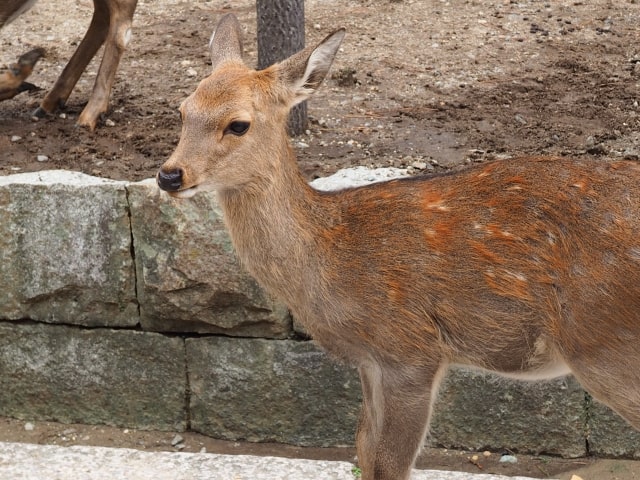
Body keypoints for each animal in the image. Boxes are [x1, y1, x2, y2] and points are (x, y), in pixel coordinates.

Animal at [158, 12, 640, 480]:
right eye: (182, 110)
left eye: (238, 124)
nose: (169, 175)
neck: (332, 256)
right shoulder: (370, 363)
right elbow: (363, 451)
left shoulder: (410, 350)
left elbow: (389, 464)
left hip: (603, 342)